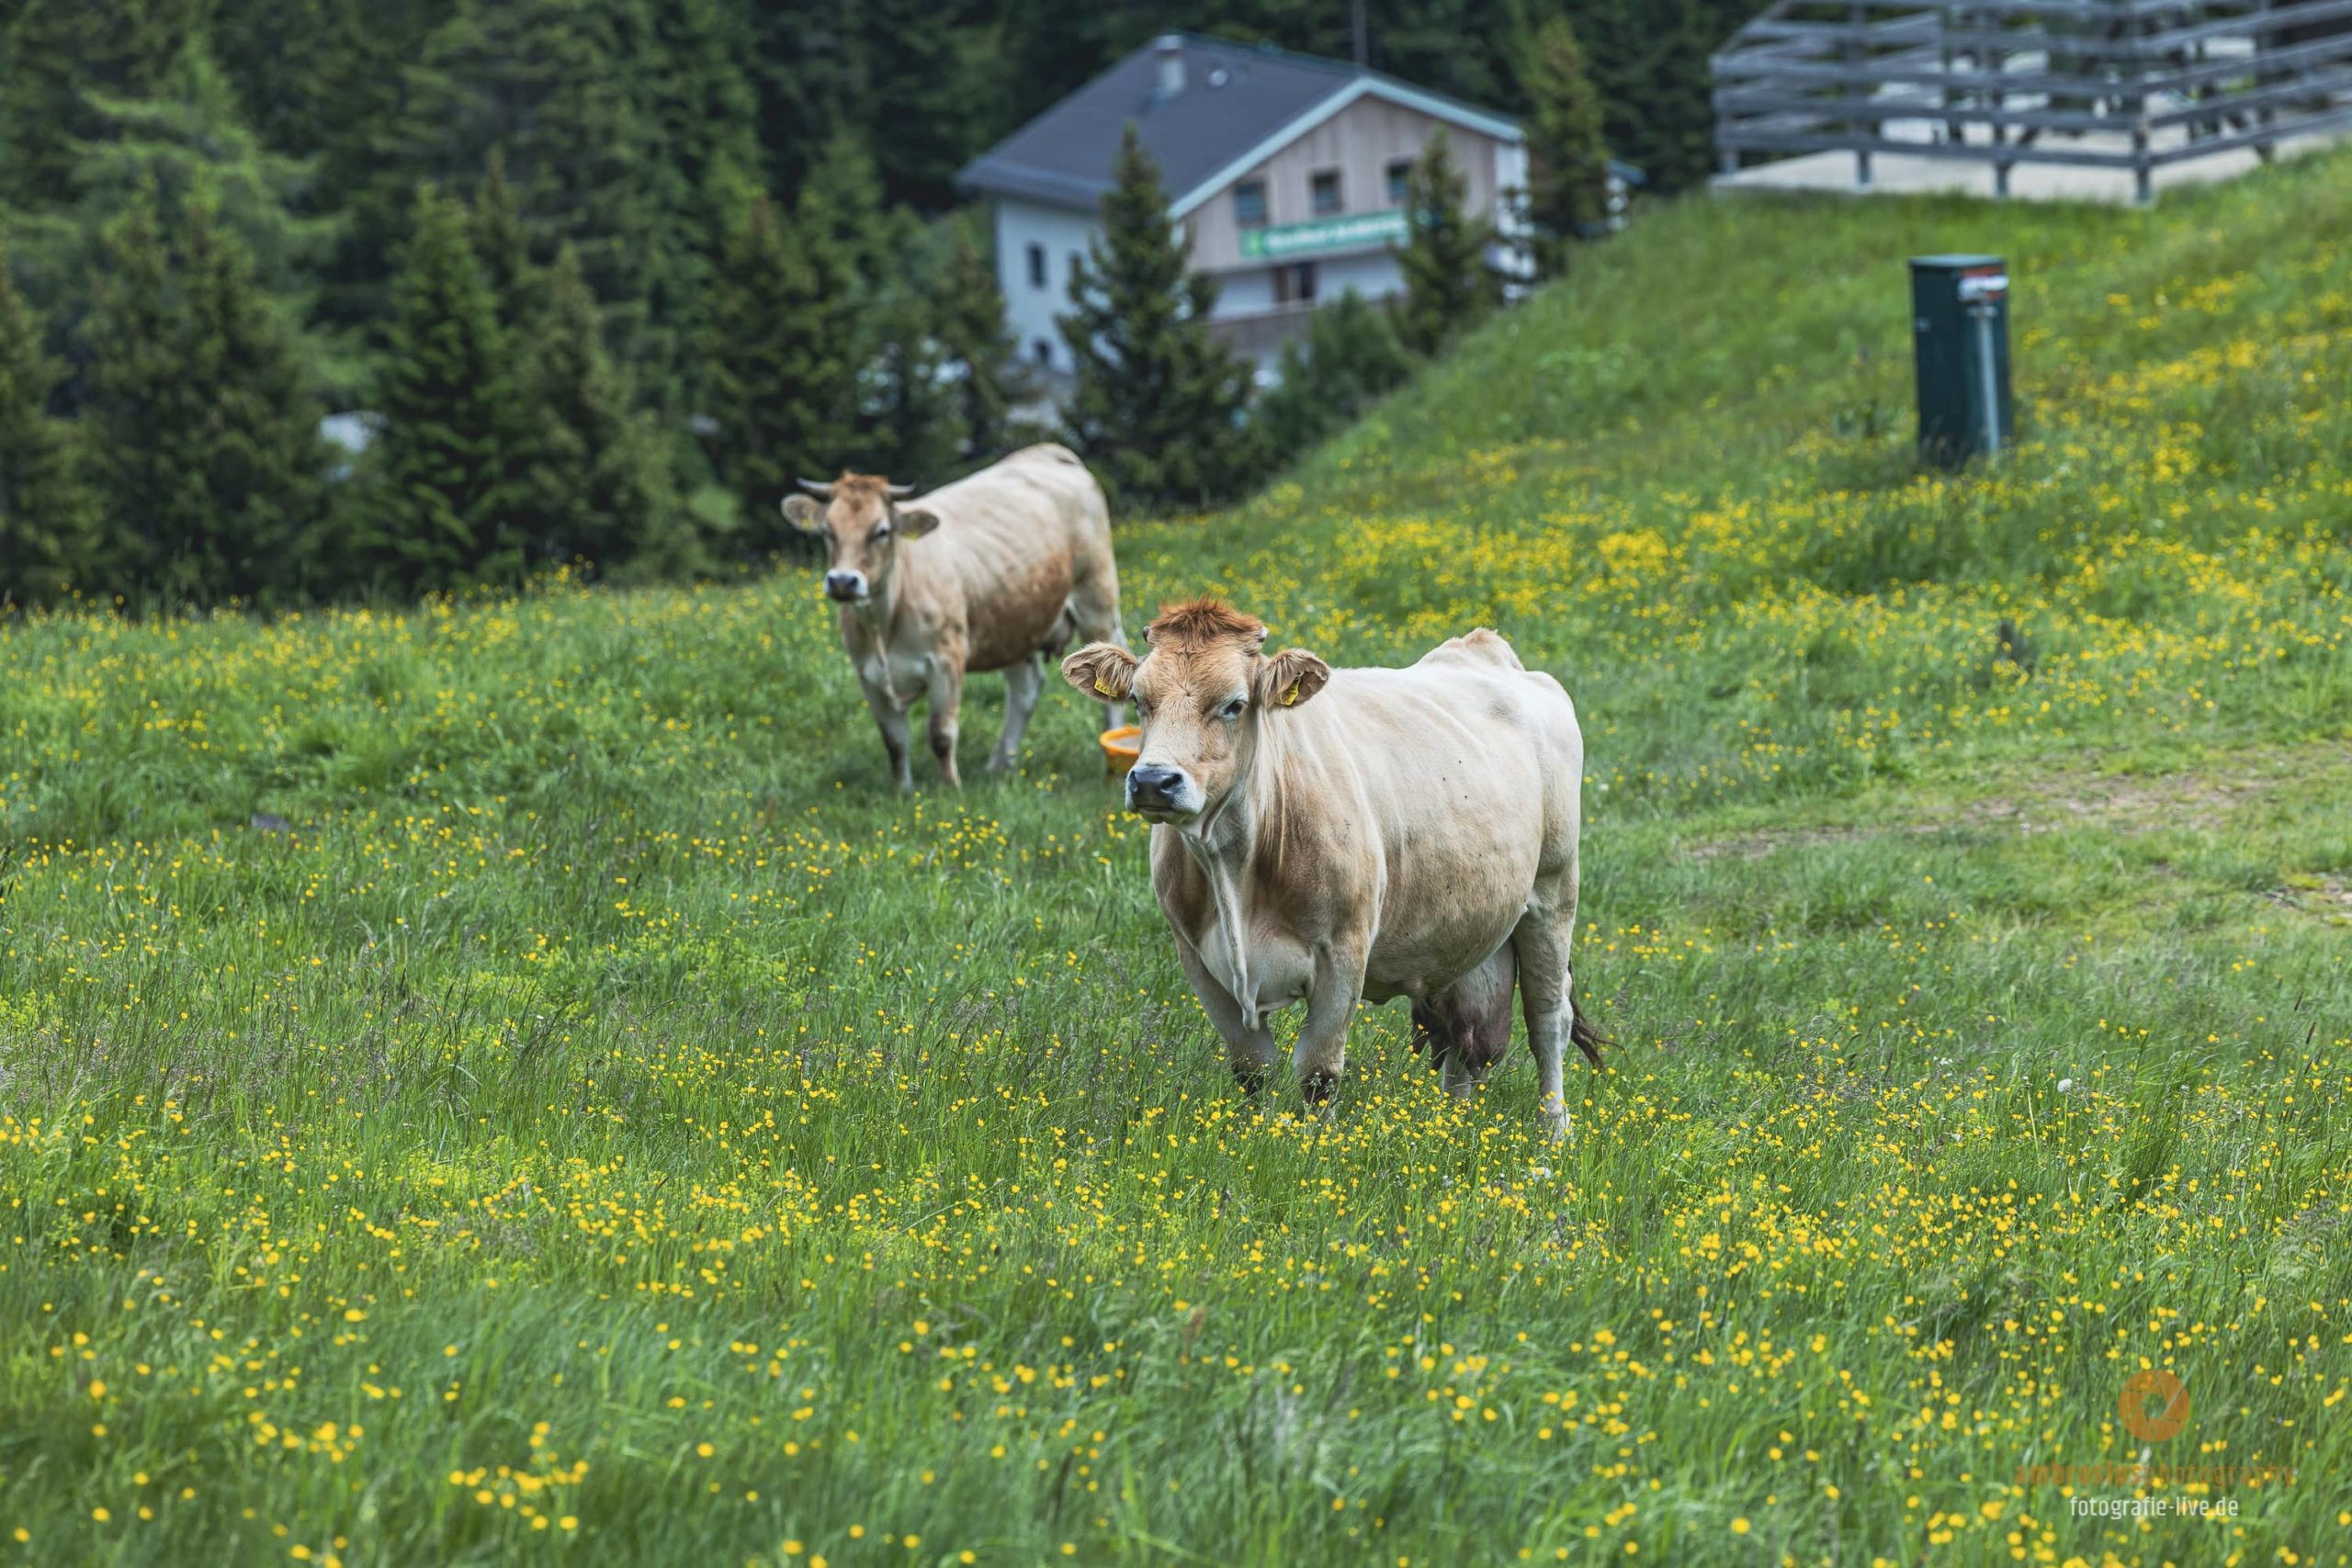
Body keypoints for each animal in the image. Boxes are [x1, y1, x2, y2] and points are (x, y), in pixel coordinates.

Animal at [785, 444, 1127, 790]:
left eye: (881, 531)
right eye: (827, 531)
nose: (843, 581)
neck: (883, 625)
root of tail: (1047, 451)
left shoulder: (946, 662)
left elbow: (941, 734)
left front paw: (950, 789)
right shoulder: (867, 674)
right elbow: (894, 741)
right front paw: (902, 791)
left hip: (1096, 601)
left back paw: (1109, 763)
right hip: (1015, 621)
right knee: (1025, 688)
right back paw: (1000, 765)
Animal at [1061, 599, 1603, 1136]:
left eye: (1234, 704)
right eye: (1138, 700)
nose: (1154, 781)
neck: (1235, 868)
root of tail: (1486, 649)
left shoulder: (1343, 953)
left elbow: (1318, 1073)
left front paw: (1313, 1148)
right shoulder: (1197, 959)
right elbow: (1252, 1068)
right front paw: (1254, 1139)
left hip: (1553, 893)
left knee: (1547, 1021)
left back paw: (1553, 1131)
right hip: (1467, 922)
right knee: (1465, 1034)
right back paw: (1451, 1125)